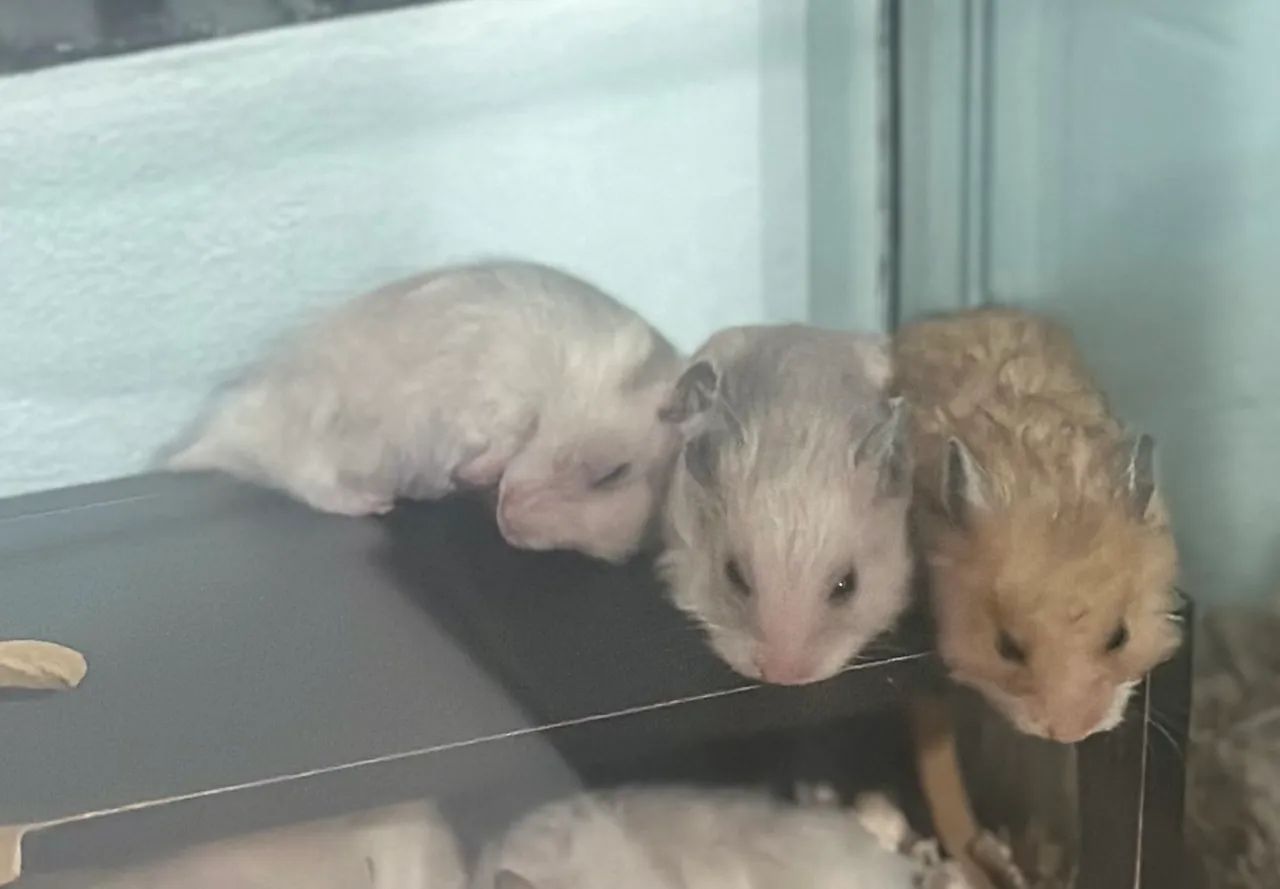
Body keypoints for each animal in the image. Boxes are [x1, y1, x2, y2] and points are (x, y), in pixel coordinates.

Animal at [163, 261, 684, 563]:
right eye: (613, 472)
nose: (506, 523)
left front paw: (464, 481)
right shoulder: (511, 382)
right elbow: (508, 430)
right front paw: (470, 472)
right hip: (313, 415)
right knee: (309, 478)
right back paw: (376, 502)